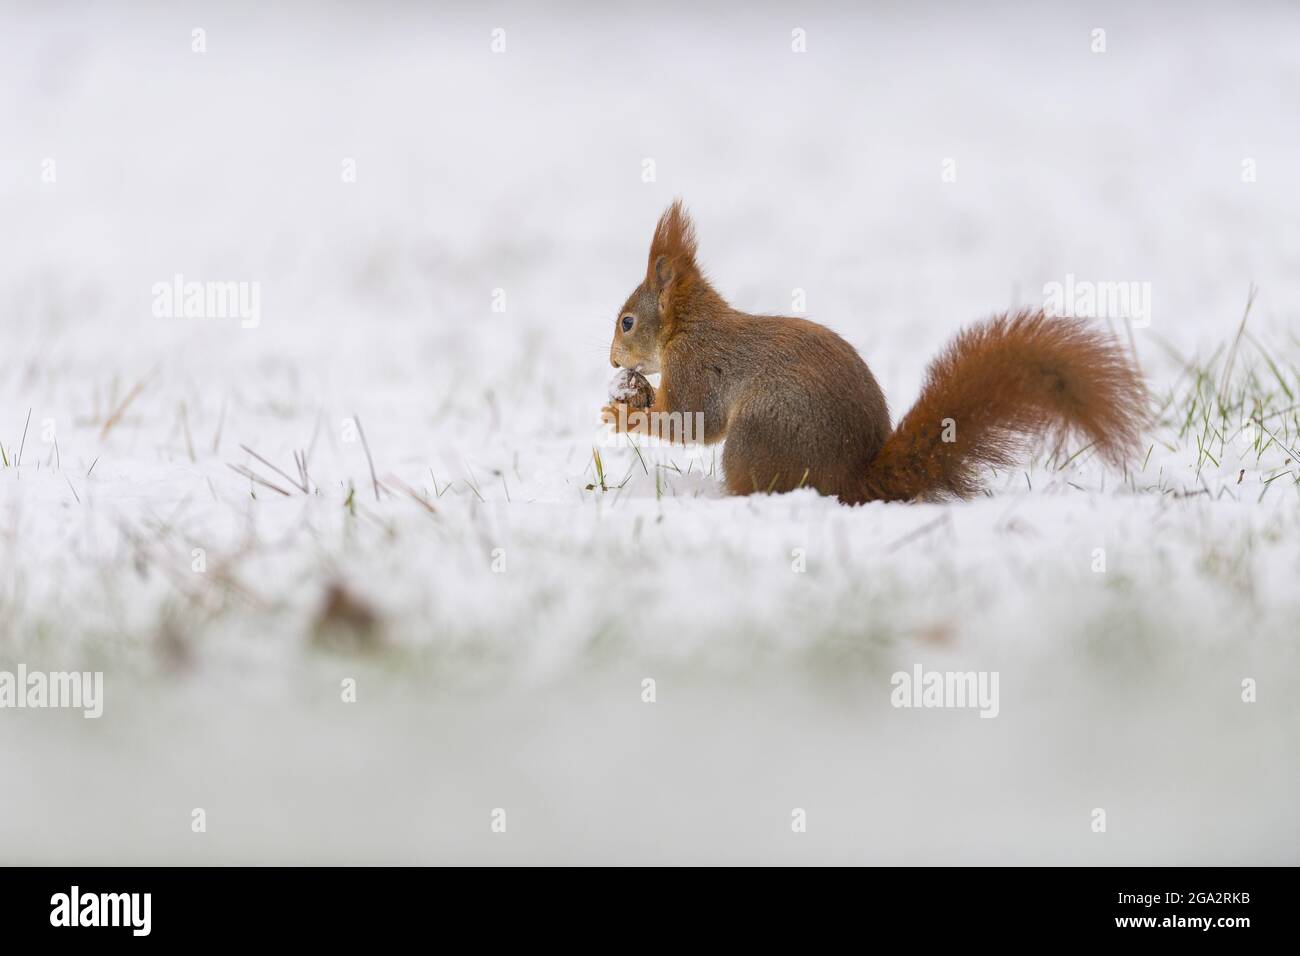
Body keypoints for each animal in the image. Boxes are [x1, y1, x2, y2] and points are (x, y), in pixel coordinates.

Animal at [600, 199, 1149, 504]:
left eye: (627, 322)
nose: (611, 362)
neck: (688, 326)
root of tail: (853, 482)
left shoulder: (698, 367)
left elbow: (692, 421)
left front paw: (624, 413)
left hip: (759, 432)